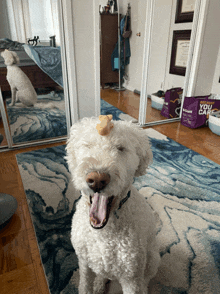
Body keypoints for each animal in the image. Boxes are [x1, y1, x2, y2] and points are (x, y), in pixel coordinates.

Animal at [65, 115, 160, 294]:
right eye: (88, 145)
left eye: (120, 148)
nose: (97, 180)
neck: (104, 233)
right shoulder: (84, 264)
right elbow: (84, 285)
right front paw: (93, 285)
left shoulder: (131, 279)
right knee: (102, 274)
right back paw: (99, 284)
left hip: (152, 259)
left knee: (145, 279)